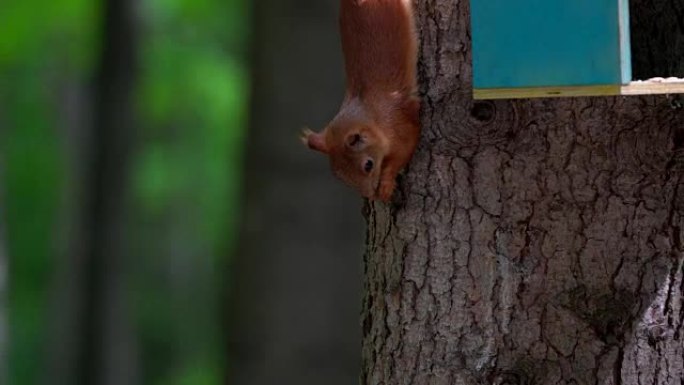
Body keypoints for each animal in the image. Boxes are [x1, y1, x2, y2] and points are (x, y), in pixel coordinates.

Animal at [302, 0, 420, 202]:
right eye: (340, 177)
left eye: (368, 165)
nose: (370, 196)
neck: (373, 117)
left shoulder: (399, 124)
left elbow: (404, 151)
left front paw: (386, 185)